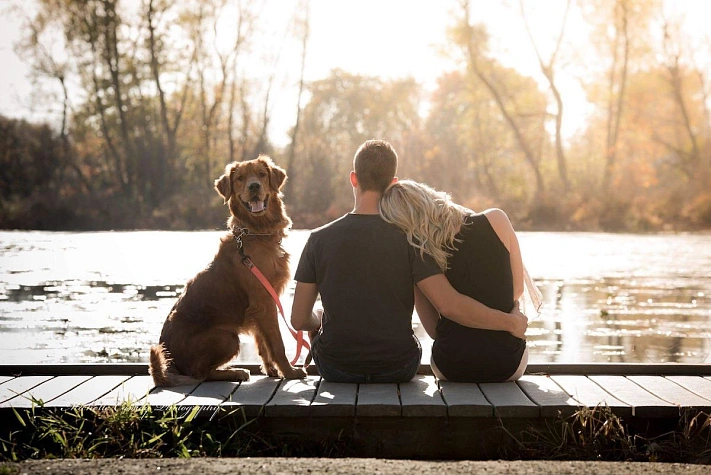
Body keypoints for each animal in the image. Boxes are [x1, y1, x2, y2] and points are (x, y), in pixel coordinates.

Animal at [149, 155, 308, 386]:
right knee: (200, 373)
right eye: (240, 178)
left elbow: (263, 343)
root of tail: (172, 364)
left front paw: (271, 370)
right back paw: (235, 371)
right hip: (228, 337)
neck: (256, 233)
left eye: (262, 174)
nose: (254, 186)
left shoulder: (262, 304)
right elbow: (277, 343)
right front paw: (289, 371)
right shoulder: (264, 301)